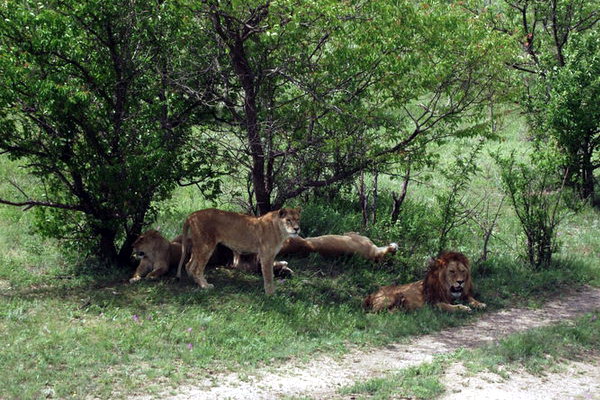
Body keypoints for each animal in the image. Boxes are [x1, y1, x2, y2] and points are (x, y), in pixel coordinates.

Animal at [360, 252, 488, 314]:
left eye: (462, 271)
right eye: (452, 271)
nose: (460, 282)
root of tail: (371, 294)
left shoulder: (463, 295)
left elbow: (471, 298)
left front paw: (479, 304)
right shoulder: (433, 303)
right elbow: (448, 306)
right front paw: (464, 308)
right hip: (391, 297)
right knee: (371, 313)